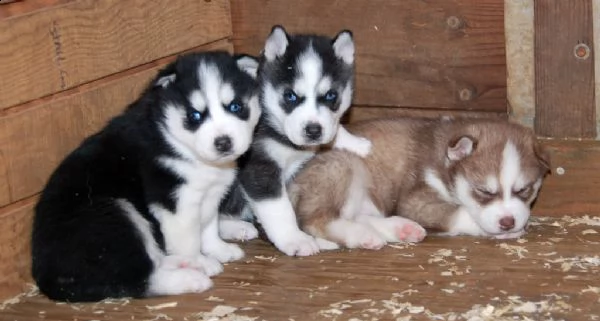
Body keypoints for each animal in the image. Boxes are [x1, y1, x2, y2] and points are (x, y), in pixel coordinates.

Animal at [31, 51, 260, 302]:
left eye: (236, 106)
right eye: (194, 115)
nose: (223, 142)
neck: (177, 142)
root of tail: (44, 275)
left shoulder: (210, 194)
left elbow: (207, 226)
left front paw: (218, 249)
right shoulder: (175, 204)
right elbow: (189, 239)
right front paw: (200, 261)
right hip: (113, 214)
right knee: (133, 280)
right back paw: (191, 276)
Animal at [220, 25, 370, 255]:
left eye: (331, 95)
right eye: (290, 95)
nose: (313, 130)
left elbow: (335, 128)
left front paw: (357, 143)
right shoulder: (260, 168)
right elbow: (279, 210)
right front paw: (294, 239)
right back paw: (236, 228)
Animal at [288, 116, 552, 249]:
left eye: (524, 189)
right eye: (484, 191)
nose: (508, 222)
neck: (444, 161)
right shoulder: (415, 199)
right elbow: (458, 213)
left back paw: (401, 229)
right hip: (343, 164)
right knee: (316, 221)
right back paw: (362, 236)